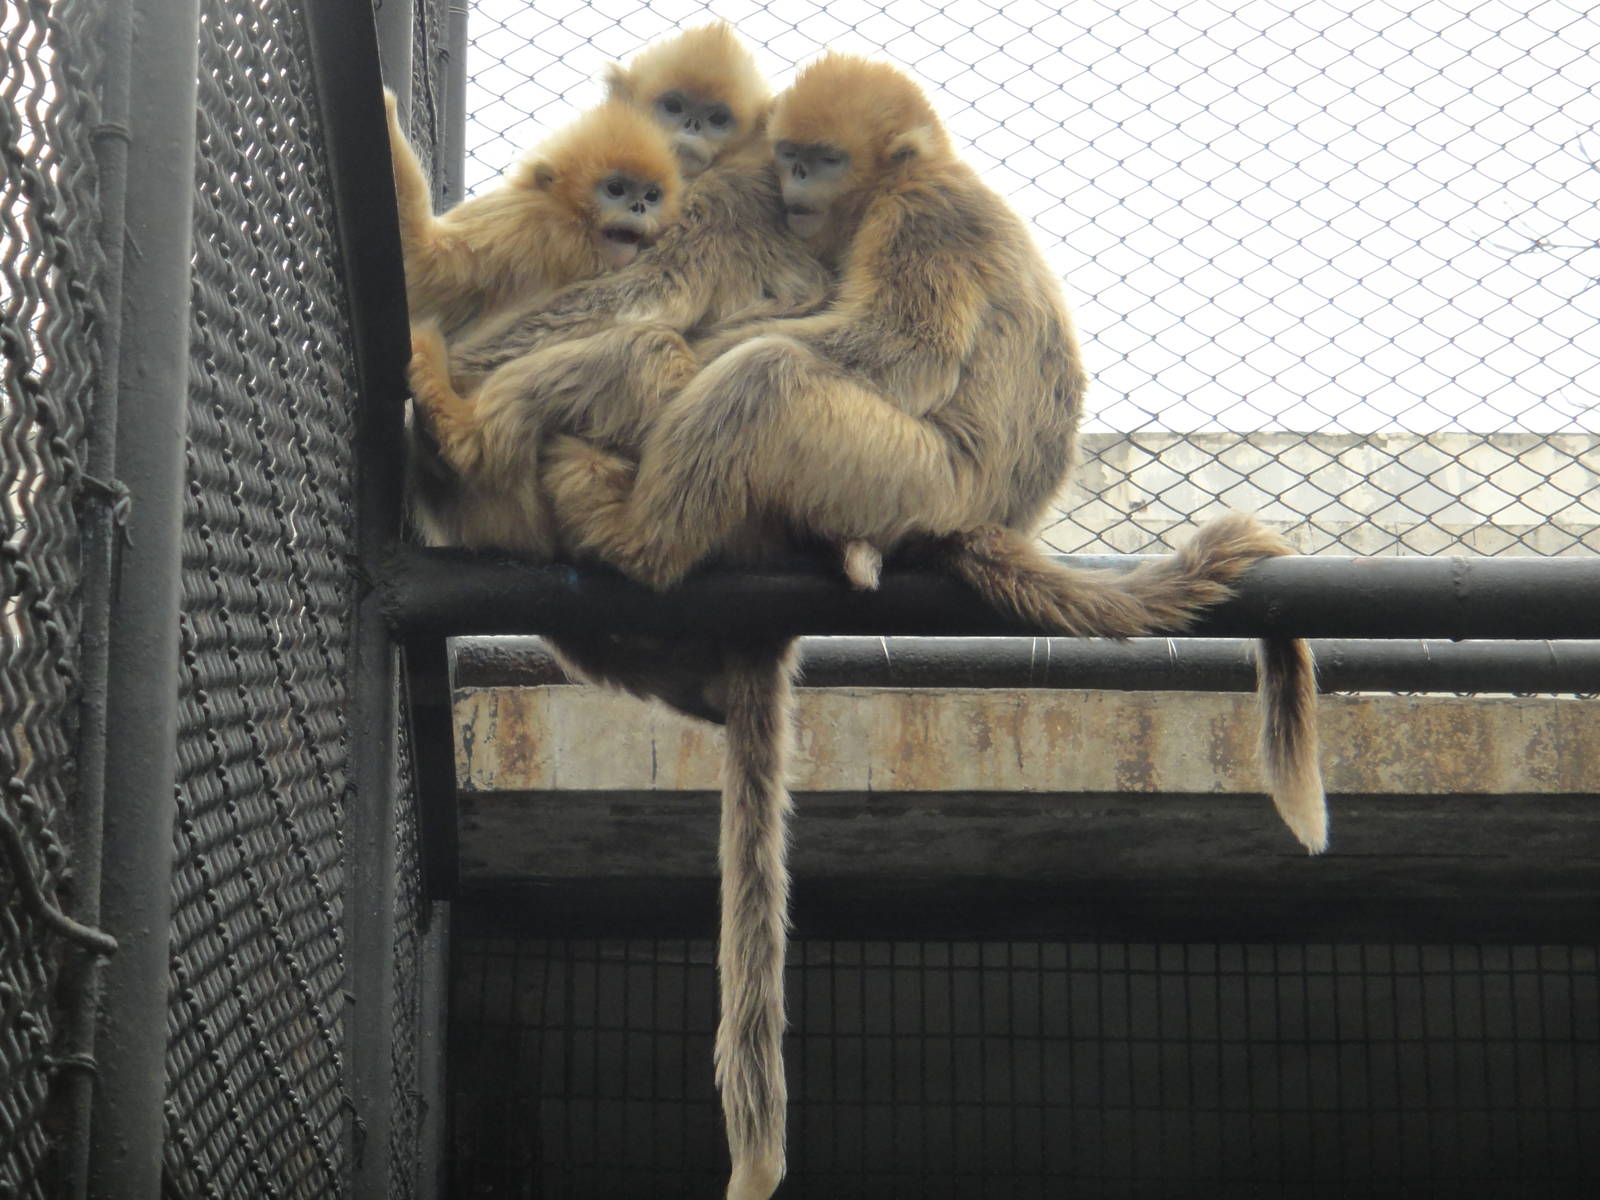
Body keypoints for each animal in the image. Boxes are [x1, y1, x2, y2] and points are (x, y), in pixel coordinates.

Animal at [538, 53, 1328, 1198]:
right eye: (790, 157)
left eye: (819, 160)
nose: (795, 186)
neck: (913, 177)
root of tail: (981, 516)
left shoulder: (922, 218)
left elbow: (893, 347)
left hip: (900, 473)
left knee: (774, 379)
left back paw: (636, 531)